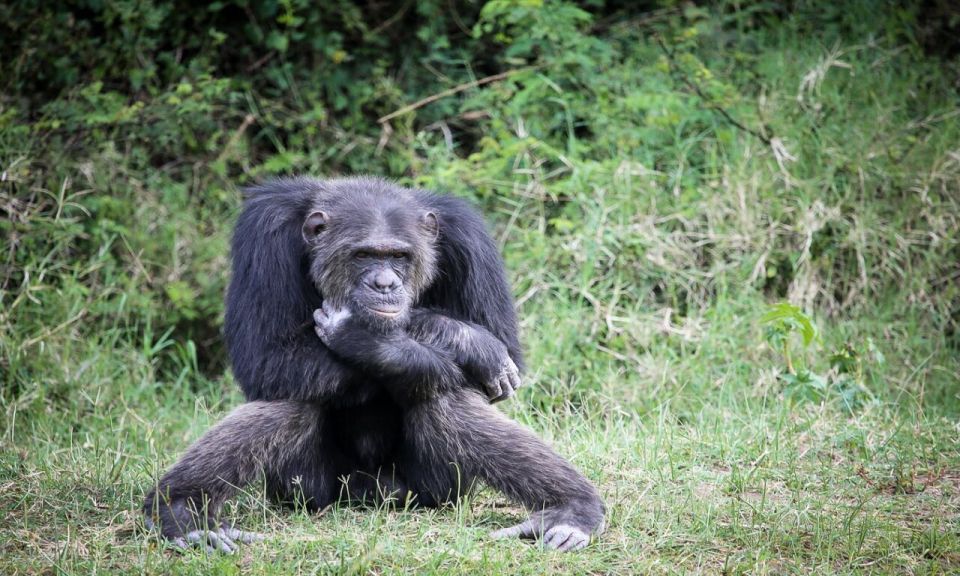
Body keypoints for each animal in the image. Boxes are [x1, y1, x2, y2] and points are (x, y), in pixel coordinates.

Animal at [143, 177, 605, 553]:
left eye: (399, 256)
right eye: (364, 255)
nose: (385, 283)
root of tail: (369, 494)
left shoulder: (470, 238)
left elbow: (503, 345)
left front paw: (385, 342)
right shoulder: (264, 231)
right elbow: (264, 356)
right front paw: (460, 345)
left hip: (430, 489)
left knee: (445, 399)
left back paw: (570, 509)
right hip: (309, 489)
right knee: (292, 397)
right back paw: (185, 513)